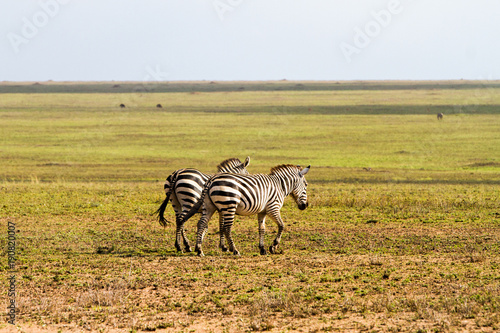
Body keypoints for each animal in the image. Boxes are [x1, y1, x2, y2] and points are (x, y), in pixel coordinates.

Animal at [182, 163, 310, 254]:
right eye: (306, 184)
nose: (305, 206)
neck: (280, 186)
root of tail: (211, 180)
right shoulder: (273, 208)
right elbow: (281, 225)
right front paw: (273, 246)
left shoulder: (262, 211)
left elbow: (262, 229)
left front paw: (262, 249)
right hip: (229, 205)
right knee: (227, 228)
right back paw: (234, 250)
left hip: (209, 206)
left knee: (201, 223)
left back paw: (199, 250)